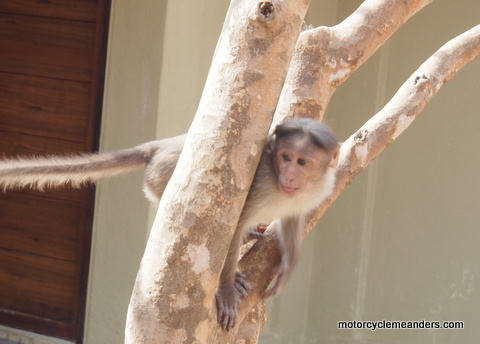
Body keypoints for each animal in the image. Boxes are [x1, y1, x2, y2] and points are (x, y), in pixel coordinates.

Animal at [0, 118, 340, 330]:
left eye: (302, 161)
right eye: (285, 157)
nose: (290, 175)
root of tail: (161, 145)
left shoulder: (317, 189)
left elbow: (293, 222)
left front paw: (287, 268)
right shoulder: (263, 183)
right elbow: (233, 222)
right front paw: (227, 289)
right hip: (164, 177)